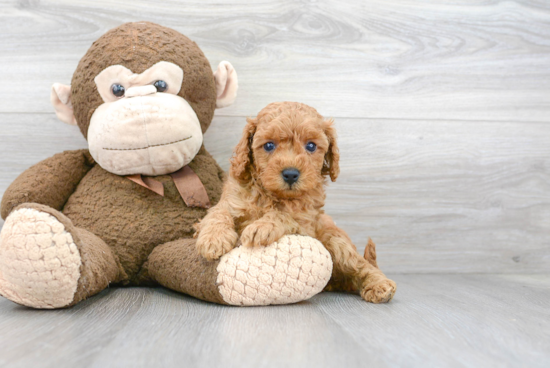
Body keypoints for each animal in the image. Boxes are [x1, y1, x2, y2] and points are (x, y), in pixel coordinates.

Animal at [197, 102, 396, 304]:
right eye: (269, 145)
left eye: (311, 146)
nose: (291, 174)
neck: (272, 195)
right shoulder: (231, 201)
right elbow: (217, 214)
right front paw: (213, 239)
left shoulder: (306, 224)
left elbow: (284, 215)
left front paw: (262, 227)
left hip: (335, 240)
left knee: (360, 265)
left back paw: (379, 285)